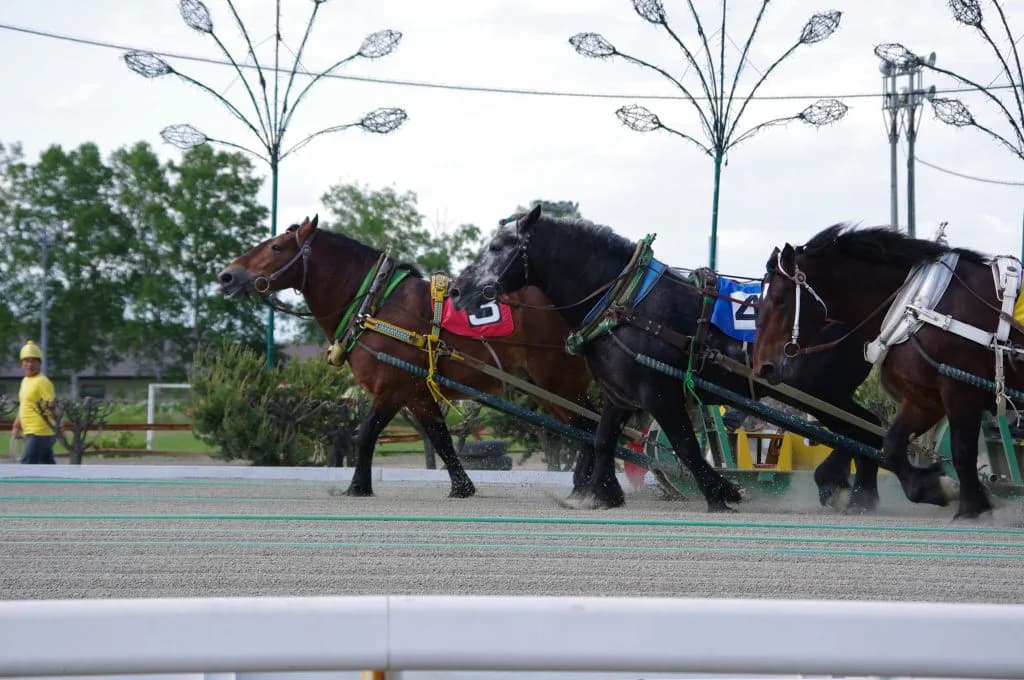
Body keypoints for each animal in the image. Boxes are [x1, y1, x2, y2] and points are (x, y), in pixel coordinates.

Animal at [219, 215, 599, 499]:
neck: (376, 302)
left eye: (277, 246)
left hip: (559, 382)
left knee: (591, 429)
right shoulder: (418, 393)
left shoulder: (392, 387)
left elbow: (366, 434)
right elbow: (441, 440)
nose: (227, 275)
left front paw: (358, 487)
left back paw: (590, 485)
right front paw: (462, 488)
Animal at [449, 206, 885, 512]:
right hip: (829, 395)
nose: (456, 290)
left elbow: (686, 446)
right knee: (868, 433)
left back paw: (845, 487)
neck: (629, 302)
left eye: (498, 247)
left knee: (863, 433)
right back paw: (858, 495)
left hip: (822, 394)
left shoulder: (660, 393)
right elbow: (603, 437)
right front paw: (603, 493)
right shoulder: (619, 393)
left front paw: (721, 492)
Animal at [753, 224, 1008, 518]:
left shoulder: (960, 389)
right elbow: (893, 444)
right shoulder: (927, 396)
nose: (763, 364)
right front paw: (934, 487)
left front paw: (970, 508)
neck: (922, 305)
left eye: (780, 300)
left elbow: (962, 450)